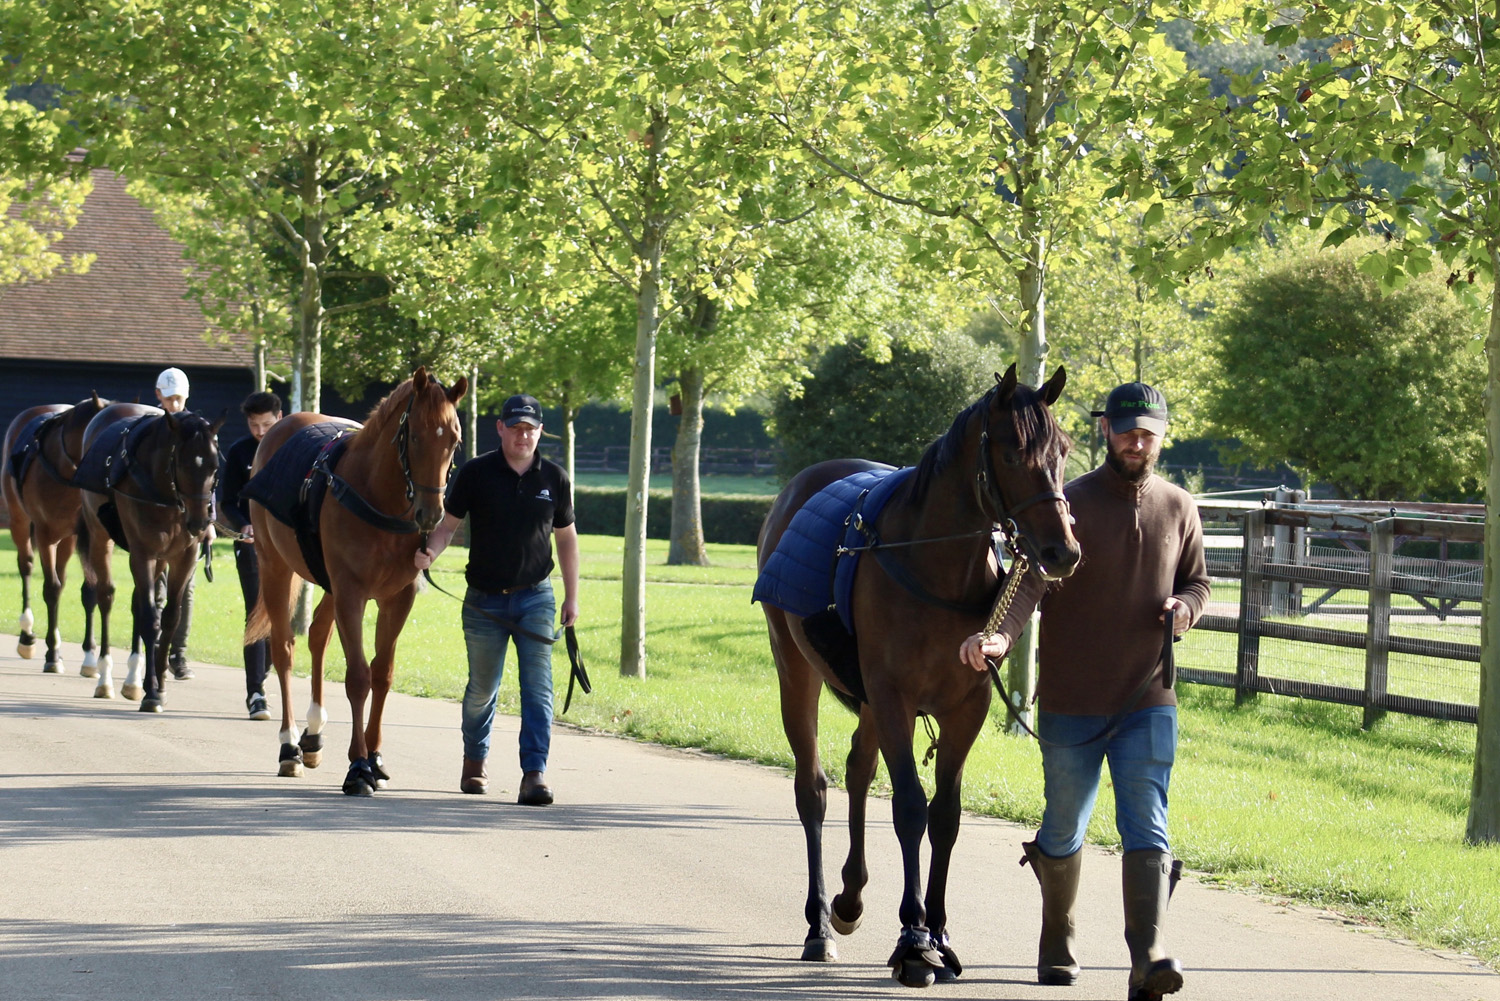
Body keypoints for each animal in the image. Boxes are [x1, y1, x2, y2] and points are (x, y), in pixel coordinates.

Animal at [2, 393, 110, 672]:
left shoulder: (83, 534)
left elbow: (89, 591)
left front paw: (89, 654)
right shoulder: (44, 533)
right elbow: (50, 589)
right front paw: (51, 653)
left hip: (67, 539)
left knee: (60, 577)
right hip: (19, 521)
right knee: (27, 566)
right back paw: (27, 635)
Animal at [75, 402, 222, 708]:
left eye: (214, 466)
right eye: (183, 464)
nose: (201, 522)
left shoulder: (183, 556)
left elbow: (170, 617)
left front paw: (159, 684)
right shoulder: (142, 554)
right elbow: (151, 618)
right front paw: (152, 692)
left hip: (161, 558)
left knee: (138, 605)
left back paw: (132, 680)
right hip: (100, 537)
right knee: (106, 597)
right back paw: (105, 678)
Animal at [243, 367, 465, 798]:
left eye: (455, 439)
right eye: (415, 435)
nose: (431, 514)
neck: (377, 495)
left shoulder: (398, 598)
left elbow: (382, 674)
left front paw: (375, 757)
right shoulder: (351, 593)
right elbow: (359, 677)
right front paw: (359, 766)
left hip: (327, 583)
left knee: (317, 635)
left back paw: (313, 732)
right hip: (274, 565)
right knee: (283, 648)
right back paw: (289, 745)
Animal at [762, 361, 1080, 984]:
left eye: (1063, 450)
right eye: (1013, 454)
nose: (1063, 551)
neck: (934, 568)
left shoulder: (966, 707)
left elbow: (946, 816)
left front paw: (940, 932)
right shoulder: (894, 697)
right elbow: (910, 809)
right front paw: (913, 939)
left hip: (864, 697)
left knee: (859, 770)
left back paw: (850, 898)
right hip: (798, 673)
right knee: (814, 789)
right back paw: (819, 924)